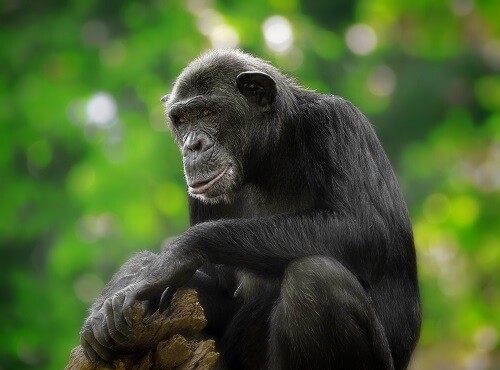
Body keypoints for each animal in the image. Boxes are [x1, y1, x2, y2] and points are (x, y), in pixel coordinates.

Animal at [80, 49, 420, 370]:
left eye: (208, 112)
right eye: (182, 119)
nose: (192, 145)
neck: (269, 155)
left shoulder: (337, 122)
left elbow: (363, 228)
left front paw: (165, 262)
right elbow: (218, 289)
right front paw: (120, 287)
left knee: (315, 278)